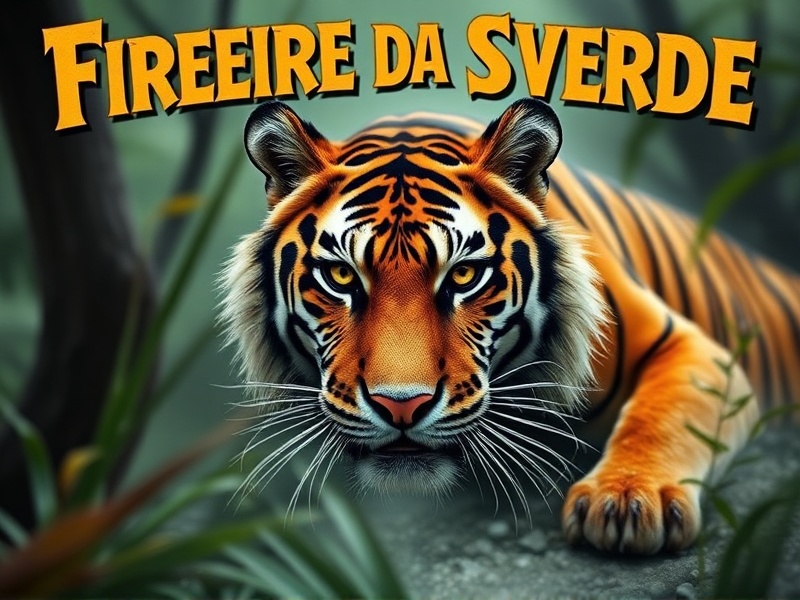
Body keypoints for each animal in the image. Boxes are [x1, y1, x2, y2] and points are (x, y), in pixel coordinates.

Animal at [220, 98, 800, 555]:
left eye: (464, 275)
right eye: (341, 275)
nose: (401, 405)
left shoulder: (693, 348)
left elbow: (660, 417)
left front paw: (628, 500)